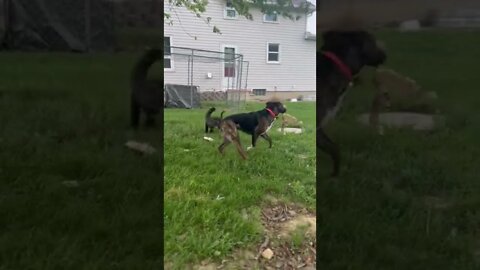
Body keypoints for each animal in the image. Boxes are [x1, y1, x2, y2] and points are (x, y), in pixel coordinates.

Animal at [316, 30, 388, 177]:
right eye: (373, 40)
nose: (386, 54)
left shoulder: (319, 128)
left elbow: (335, 149)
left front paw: (335, 175)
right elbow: (334, 149)